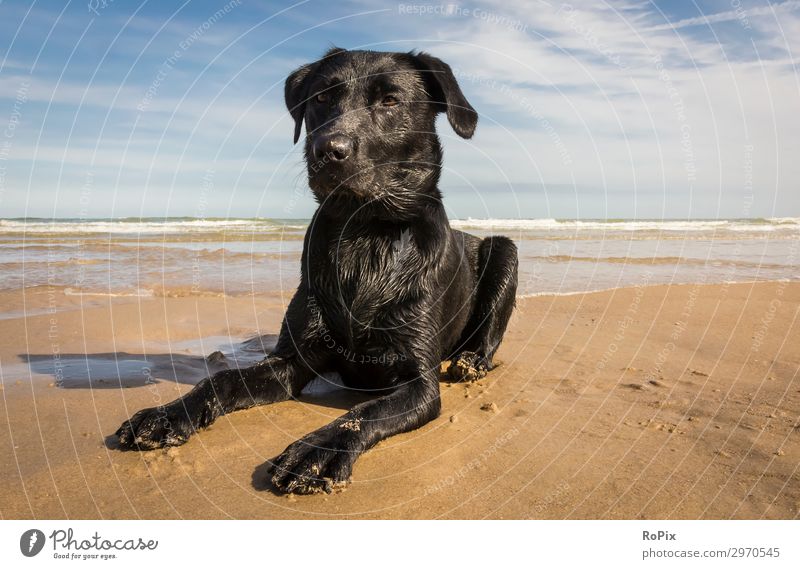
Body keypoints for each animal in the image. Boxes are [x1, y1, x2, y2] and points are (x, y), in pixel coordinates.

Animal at [117, 48, 520, 492]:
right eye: (322, 98)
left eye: (390, 100)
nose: (327, 150)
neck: (364, 233)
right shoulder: (291, 361)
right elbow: (220, 379)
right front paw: (168, 414)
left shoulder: (419, 381)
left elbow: (363, 413)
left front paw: (317, 451)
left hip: (505, 249)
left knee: (488, 331)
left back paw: (472, 361)